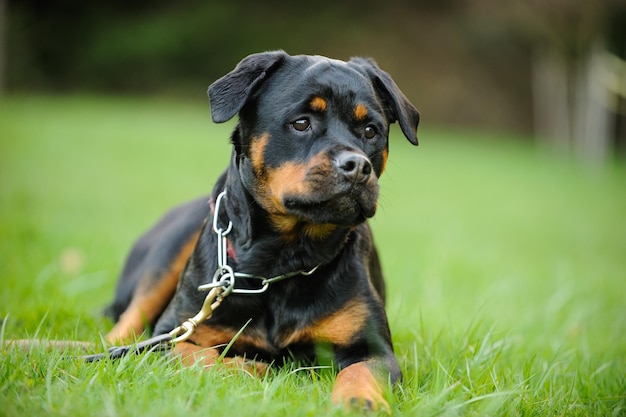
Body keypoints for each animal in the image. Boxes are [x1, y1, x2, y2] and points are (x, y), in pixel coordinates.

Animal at [103, 51, 420, 410]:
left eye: (370, 130)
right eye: (301, 123)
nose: (357, 166)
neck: (284, 259)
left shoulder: (372, 347)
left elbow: (360, 373)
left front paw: (357, 402)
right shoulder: (171, 333)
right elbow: (191, 353)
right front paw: (249, 367)